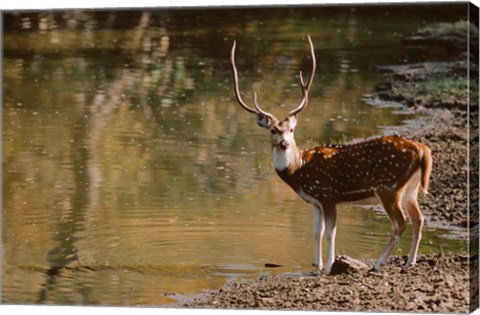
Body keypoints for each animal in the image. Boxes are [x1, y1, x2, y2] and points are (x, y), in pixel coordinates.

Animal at [231, 35, 434, 274]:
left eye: (291, 129)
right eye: (273, 130)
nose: (284, 144)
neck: (298, 170)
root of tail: (422, 150)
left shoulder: (327, 194)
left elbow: (330, 232)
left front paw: (329, 265)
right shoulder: (316, 202)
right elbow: (316, 232)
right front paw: (317, 264)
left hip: (388, 186)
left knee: (400, 222)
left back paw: (378, 263)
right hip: (410, 187)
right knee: (419, 218)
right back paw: (410, 261)